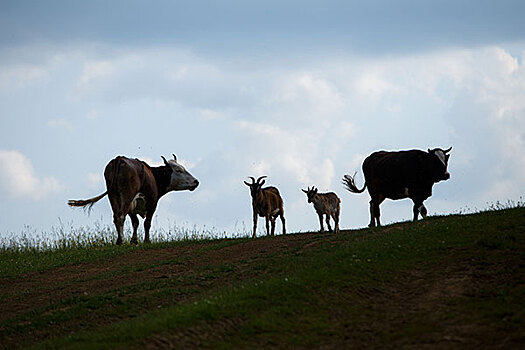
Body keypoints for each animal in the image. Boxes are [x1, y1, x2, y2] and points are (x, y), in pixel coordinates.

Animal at [68, 154, 200, 245]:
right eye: (178, 170)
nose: (196, 181)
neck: (153, 176)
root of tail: (119, 159)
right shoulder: (152, 204)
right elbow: (147, 223)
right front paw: (146, 241)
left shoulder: (133, 207)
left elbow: (135, 222)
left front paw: (134, 240)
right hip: (127, 195)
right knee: (121, 215)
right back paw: (121, 240)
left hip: (113, 196)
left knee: (116, 216)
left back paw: (118, 240)